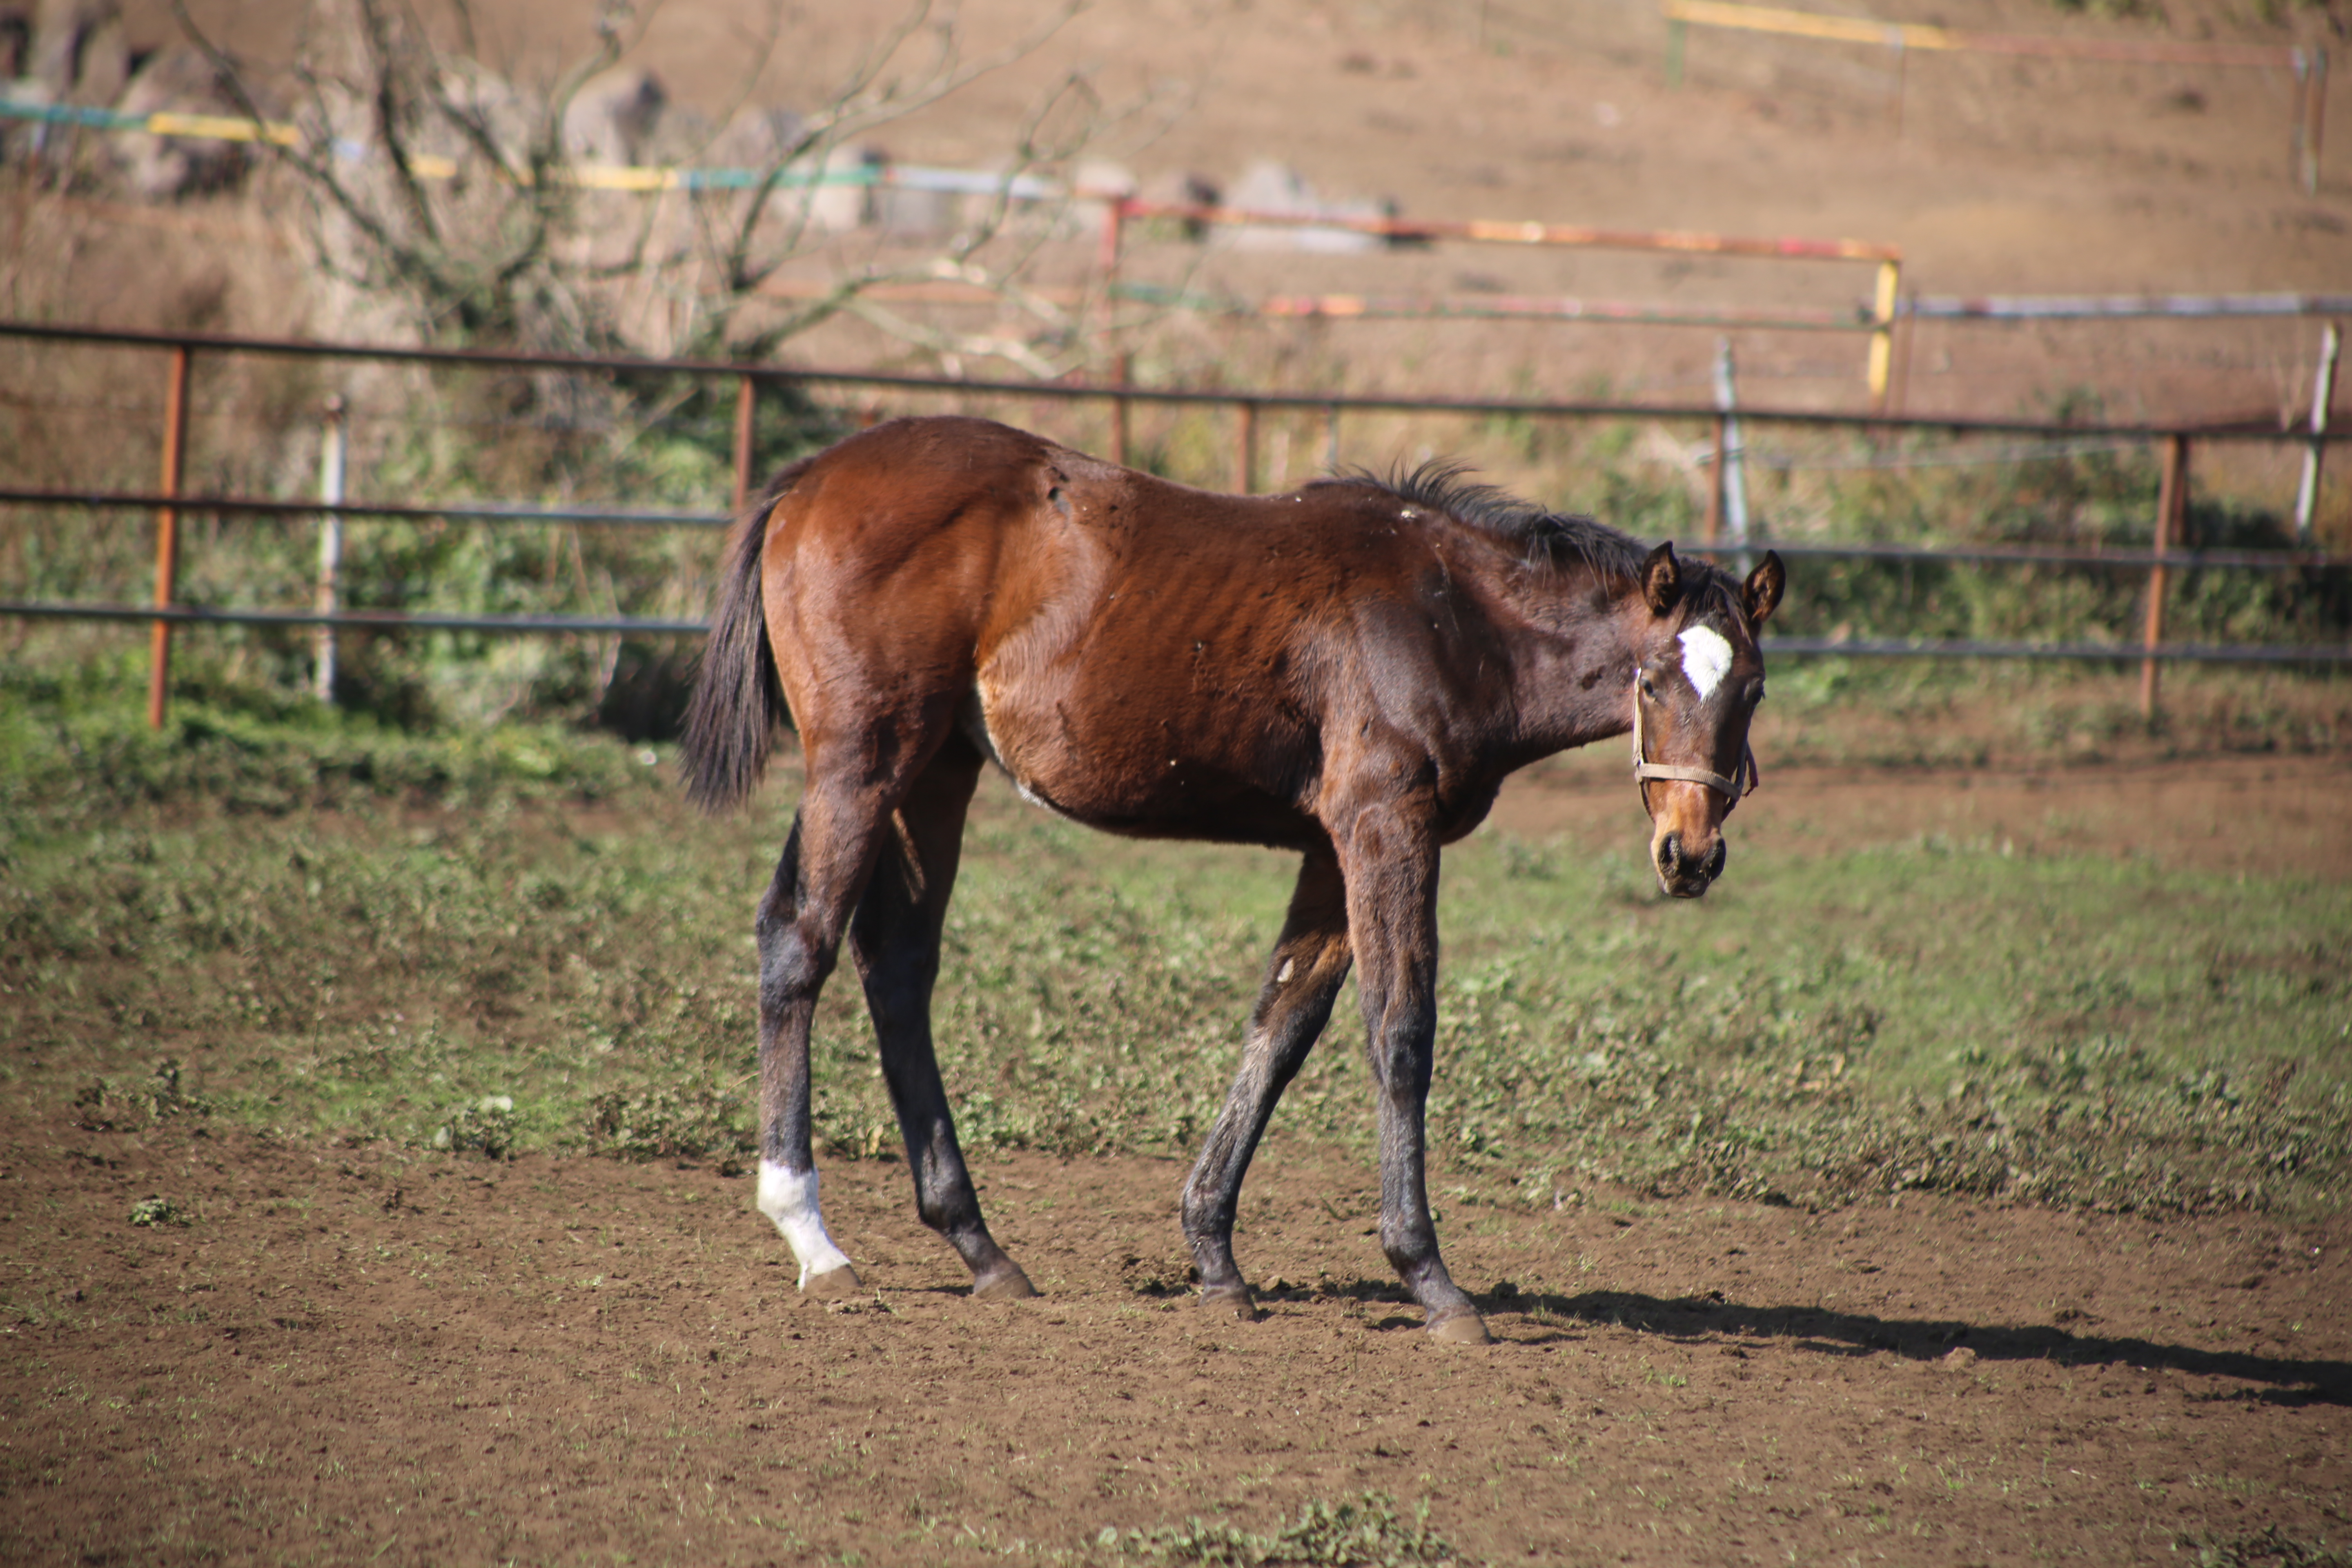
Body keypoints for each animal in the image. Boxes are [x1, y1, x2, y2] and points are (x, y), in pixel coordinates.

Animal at [682, 411, 1778, 1345]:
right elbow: (1400, 1031)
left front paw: (1214, 1257)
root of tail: (809, 479)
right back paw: (814, 1238)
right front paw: (1430, 1280)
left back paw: (979, 1244)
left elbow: (1282, 1024)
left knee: (897, 964)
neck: (1451, 618)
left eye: (1754, 687)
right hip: (860, 762)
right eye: (1650, 679)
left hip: (934, 772)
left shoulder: (1328, 847)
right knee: (800, 941)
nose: (1689, 853)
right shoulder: (1385, 825)